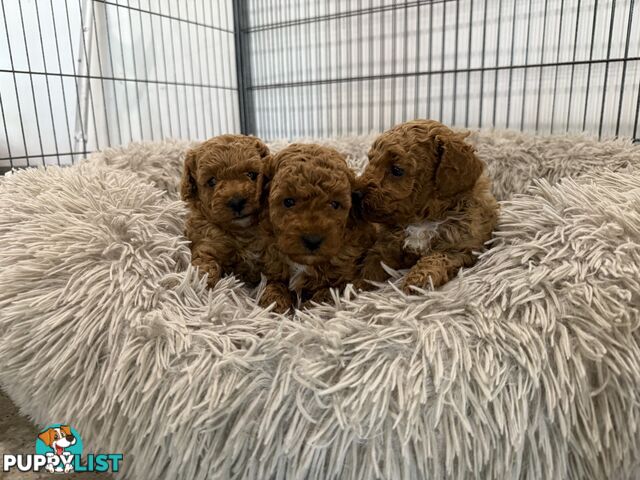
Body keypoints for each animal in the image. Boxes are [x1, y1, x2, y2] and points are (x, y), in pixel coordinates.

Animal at [180, 133, 270, 286]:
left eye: (252, 174)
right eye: (211, 181)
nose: (236, 202)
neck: (243, 232)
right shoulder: (207, 245)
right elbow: (206, 264)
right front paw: (201, 283)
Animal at [255, 144, 376, 314]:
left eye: (335, 204)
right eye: (288, 201)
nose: (313, 240)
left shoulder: (347, 278)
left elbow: (328, 292)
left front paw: (311, 309)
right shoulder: (274, 268)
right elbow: (274, 284)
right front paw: (274, 305)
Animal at [356, 120, 500, 292]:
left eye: (397, 170)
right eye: (370, 161)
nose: (355, 194)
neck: (422, 219)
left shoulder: (461, 247)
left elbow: (436, 258)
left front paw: (418, 281)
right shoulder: (387, 244)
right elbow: (373, 263)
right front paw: (356, 287)